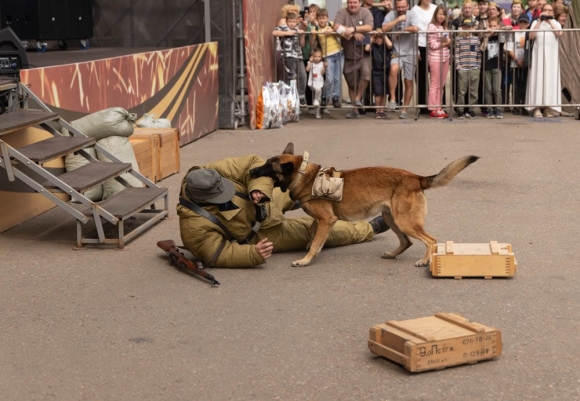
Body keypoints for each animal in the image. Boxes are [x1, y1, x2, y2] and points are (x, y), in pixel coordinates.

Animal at [250, 142, 480, 268]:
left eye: (269, 167)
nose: (251, 171)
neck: (304, 176)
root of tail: (416, 178)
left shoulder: (327, 219)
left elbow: (315, 241)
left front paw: (305, 260)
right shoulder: (324, 220)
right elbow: (313, 233)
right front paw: (310, 246)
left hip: (404, 221)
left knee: (430, 240)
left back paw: (425, 261)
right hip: (391, 218)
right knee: (407, 242)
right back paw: (392, 254)